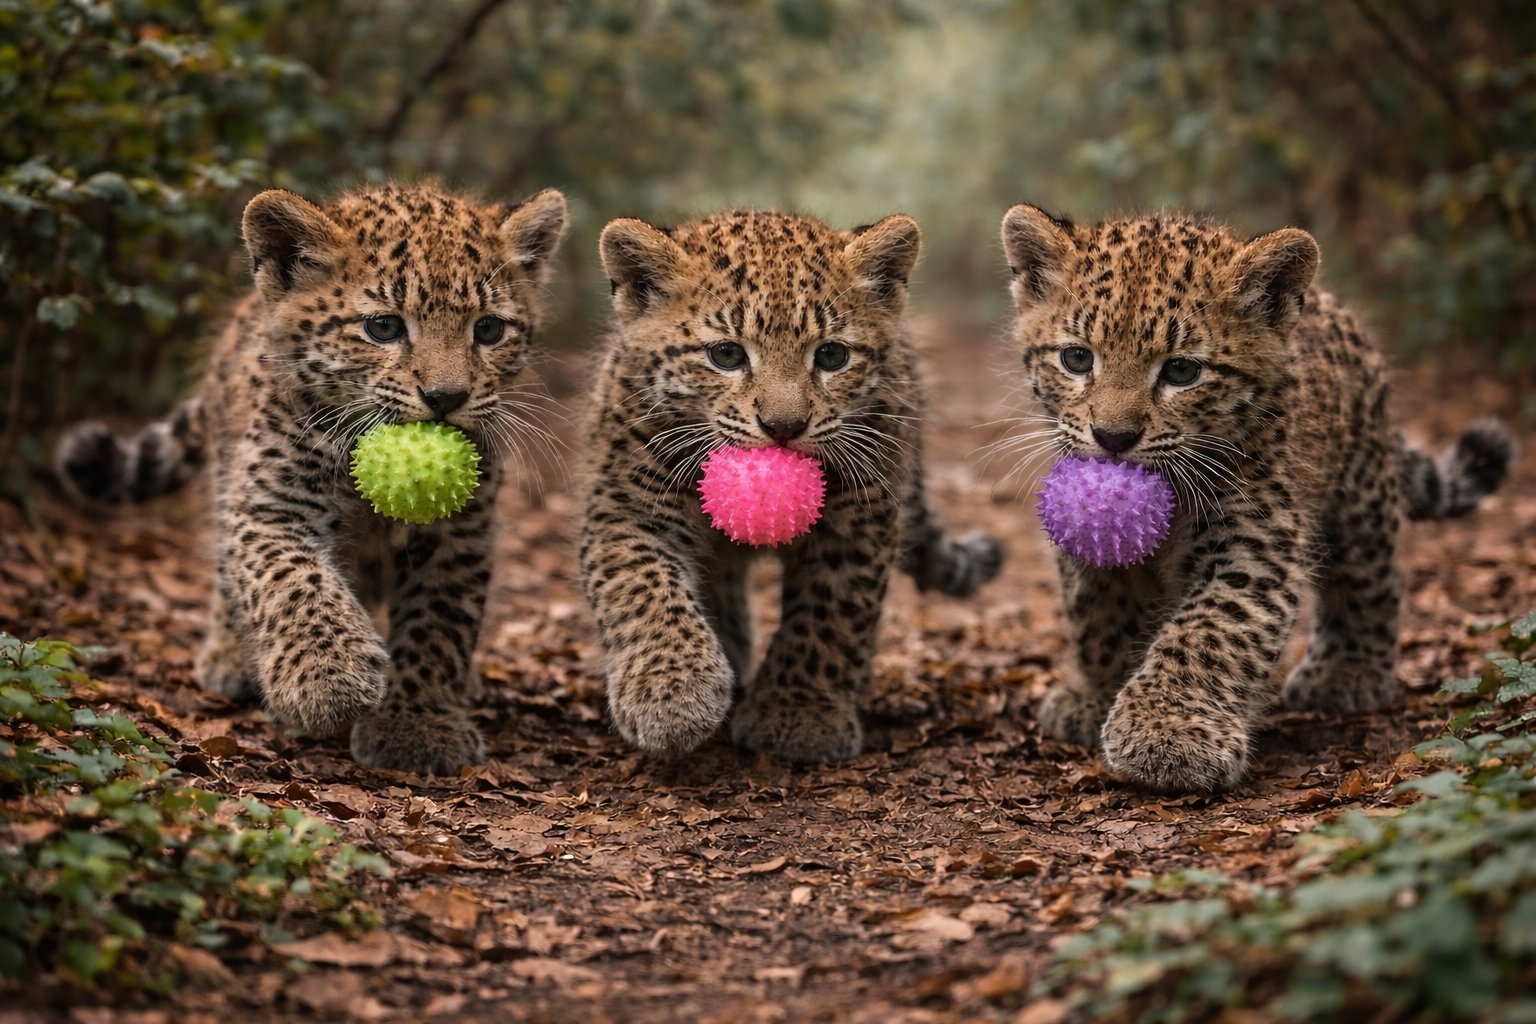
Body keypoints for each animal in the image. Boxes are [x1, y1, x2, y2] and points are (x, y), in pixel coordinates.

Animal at [55, 183, 569, 774]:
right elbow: (291, 580)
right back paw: (231, 657)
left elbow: (438, 626)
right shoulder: (271, 502)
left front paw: (418, 727)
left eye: (488, 329)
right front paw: (327, 680)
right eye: (383, 327)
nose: (446, 398)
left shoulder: (459, 534)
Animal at [580, 209, 1004, 763]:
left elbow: (829, 617)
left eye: (831, 356)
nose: (783, 427)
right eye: (725, 354)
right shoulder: (627, 507)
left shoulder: (857, 520)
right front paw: (673, 695)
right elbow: (641, 588)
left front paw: (799, 716)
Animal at [998, 204, 1515, 792]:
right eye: (1077, 359)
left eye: (1182, 370)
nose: (1113, 438)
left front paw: (1167, 732)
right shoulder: (1091, 549)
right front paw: (1093, 696)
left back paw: (1349, 673)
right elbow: (1098, 614)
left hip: (1360, 496)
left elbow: (1210, 632)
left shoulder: (1254, 541)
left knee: (1373, 579)